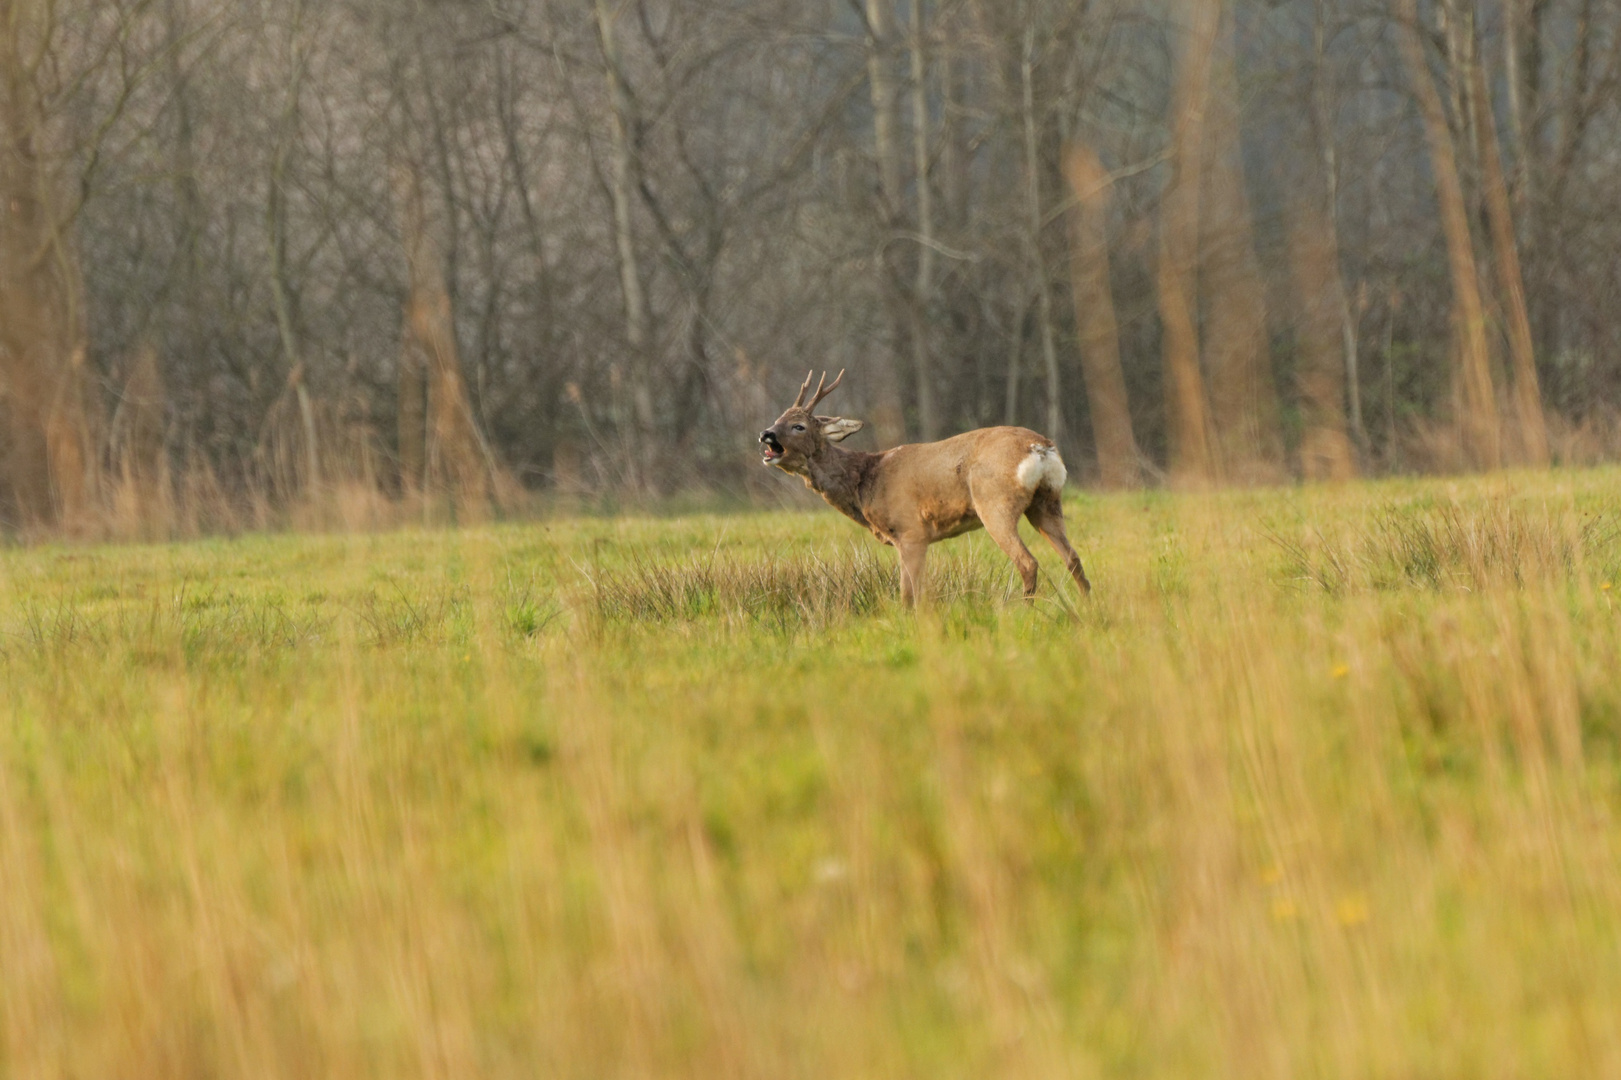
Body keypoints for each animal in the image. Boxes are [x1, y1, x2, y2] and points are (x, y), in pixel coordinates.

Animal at [755, 369, 1089, 606]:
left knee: (1028, 562)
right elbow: (908, 593)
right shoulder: (906, 539)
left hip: (995, 503)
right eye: (778, 418)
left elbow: (912, 594)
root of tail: (1041, 448)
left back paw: (1025, 612)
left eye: (799, 426)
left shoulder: (911, 531)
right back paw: (1088, 608)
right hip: (1047, 502)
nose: (765, 433)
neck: (865, 480)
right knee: (1072, 558)